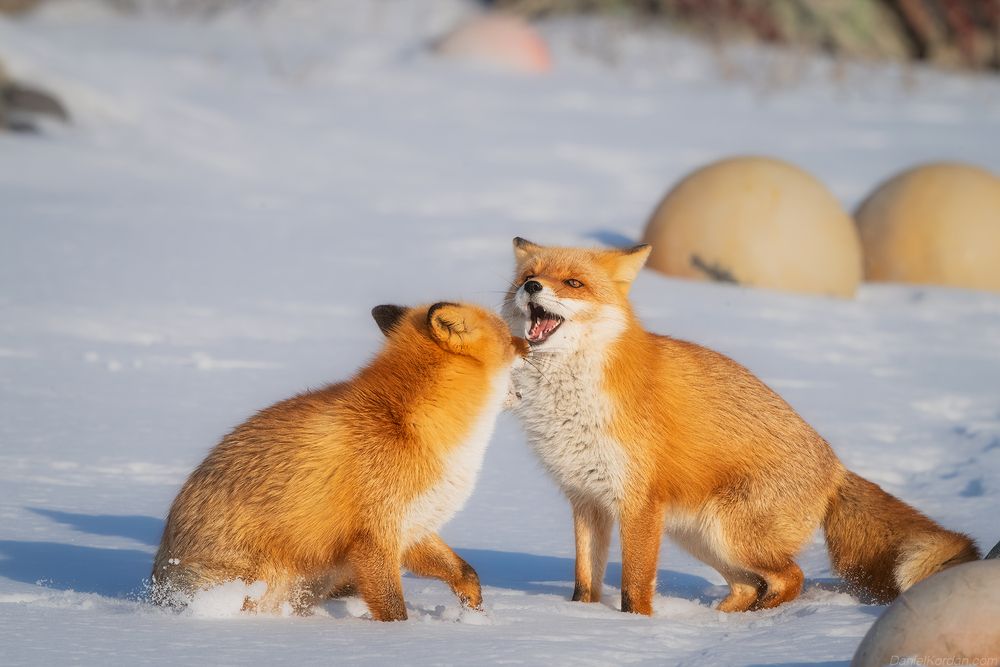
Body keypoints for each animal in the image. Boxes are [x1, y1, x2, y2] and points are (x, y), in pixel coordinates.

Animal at [152, 302, 528, 621]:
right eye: (507, 335)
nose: (529, 343)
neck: (409, 424)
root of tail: (157, 590)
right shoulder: (375, 535)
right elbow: (394, 608)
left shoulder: (413, 526)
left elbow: (466, 573)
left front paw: (475, 616)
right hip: (261, 578)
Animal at [502, 237, 981, 616]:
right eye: (530, 275)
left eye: (573, 283)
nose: (532, 287)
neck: (572, 399)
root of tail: (837, 468)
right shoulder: (586, 500)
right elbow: (585, 583)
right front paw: (581, 621)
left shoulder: (637, 504)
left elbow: (634, 589)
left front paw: (635, 630)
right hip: (701, 537)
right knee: (750, 585)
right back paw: (722, 621)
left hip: (729, 534)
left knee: (791, 577)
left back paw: (760, 623)